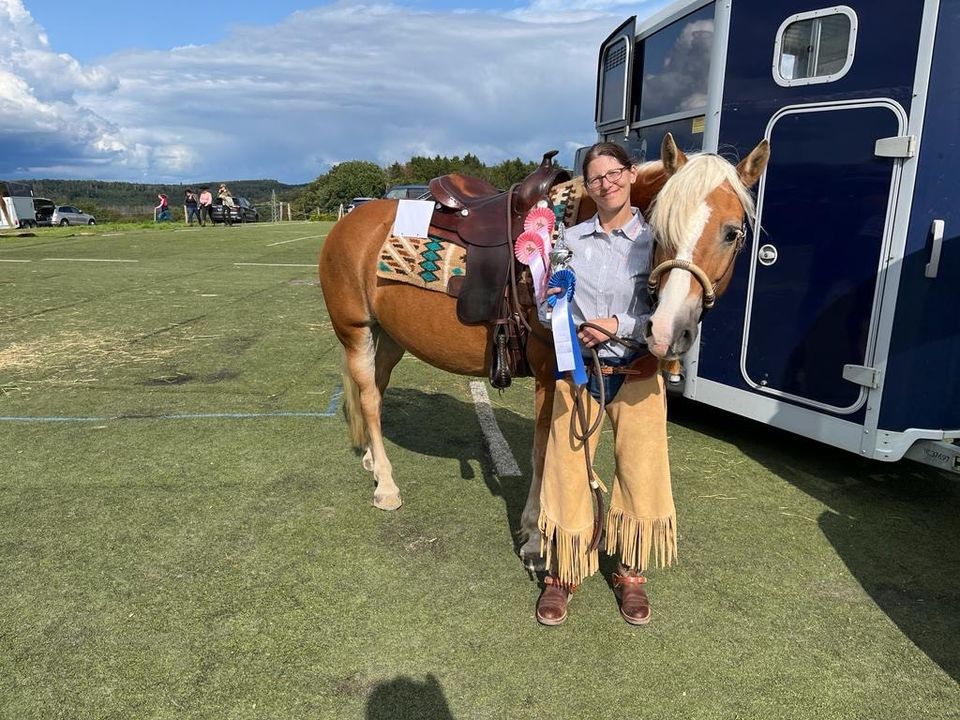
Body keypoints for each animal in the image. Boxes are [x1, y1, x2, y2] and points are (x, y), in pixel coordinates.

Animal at [318, 132, 768, 564]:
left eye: (733, 232)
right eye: (659, 229)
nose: (667, 329)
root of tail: (350, 220)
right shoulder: (550, 372)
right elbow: (542, 452)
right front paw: (535, 537)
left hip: (390, 336)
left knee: (375, 389)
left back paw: (372, 460)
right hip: (355, 331)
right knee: (370, 397)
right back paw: (386, 486)